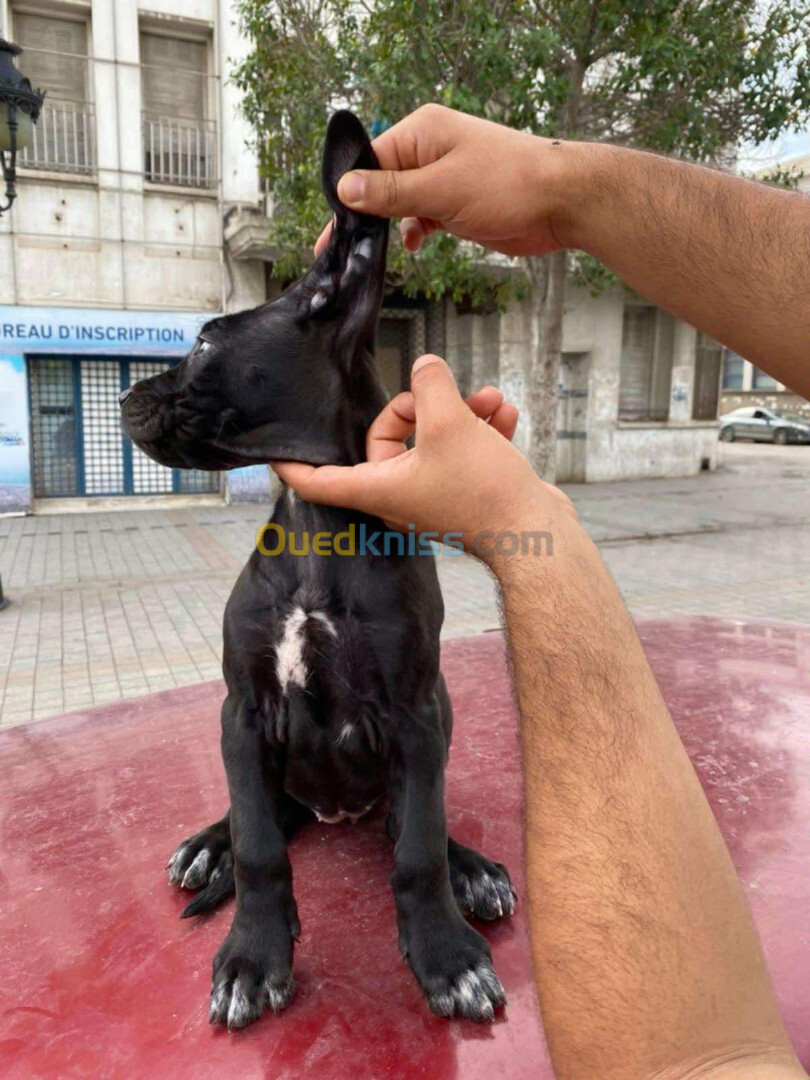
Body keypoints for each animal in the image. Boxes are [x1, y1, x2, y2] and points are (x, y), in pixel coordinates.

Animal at [118, 111, 514, 1028]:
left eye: (204, 340)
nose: (123, 398)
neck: (314, 525)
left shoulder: (416, 714)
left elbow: (417, 849)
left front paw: (445, 955)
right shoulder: (241, 710)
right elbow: (261, 845)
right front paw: (252, 954)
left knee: (416, 825)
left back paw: (473, 868)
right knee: (255, 818)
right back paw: (207, 848)